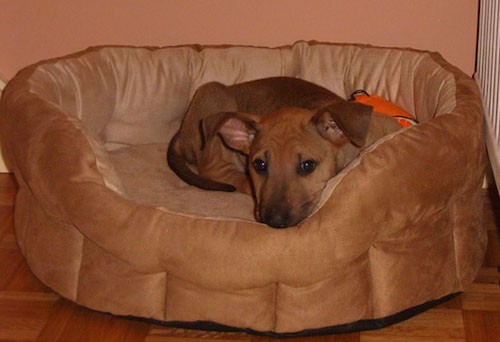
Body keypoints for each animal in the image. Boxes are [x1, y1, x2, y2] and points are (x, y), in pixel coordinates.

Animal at [168, 77, 406, 227]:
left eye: (307, 165)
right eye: (259, 164)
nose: (274, 221)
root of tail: (183, 130)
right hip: (215, 97)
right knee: (216, 171)